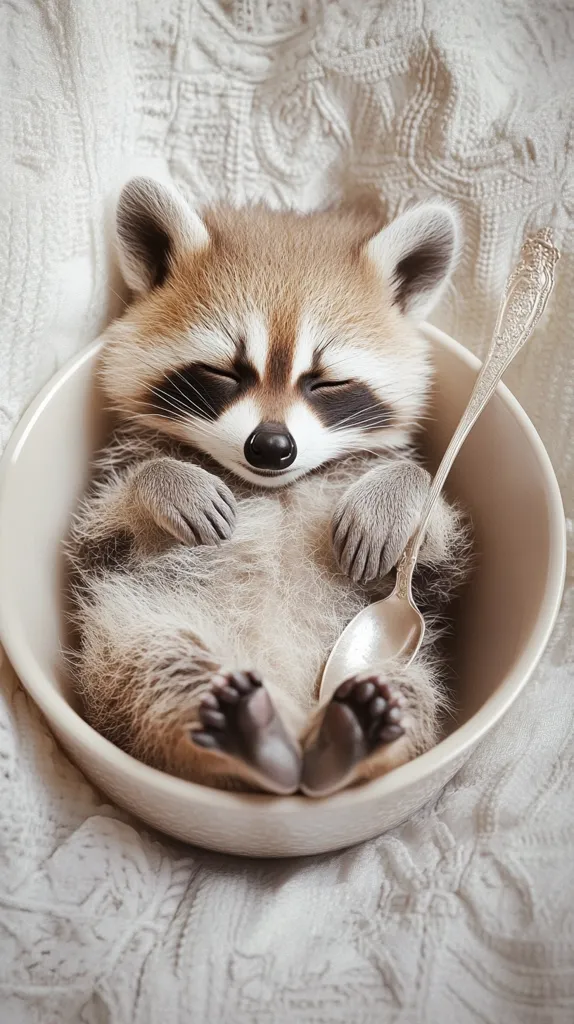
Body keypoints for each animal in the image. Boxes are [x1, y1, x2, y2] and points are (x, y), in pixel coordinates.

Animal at [67, 177, 469, 798]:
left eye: (326, 382)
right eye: (224, 373)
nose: (272, 447)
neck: (279, 486)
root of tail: (299, 728)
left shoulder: (426, 584)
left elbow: (437, 546)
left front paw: (397, 493)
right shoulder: (111, 505)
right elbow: (101, 527)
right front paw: (164, 483)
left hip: (390, 656)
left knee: (408, 691)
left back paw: (357, 731)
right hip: (131, 633)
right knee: (152, 664)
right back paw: (247, 730)